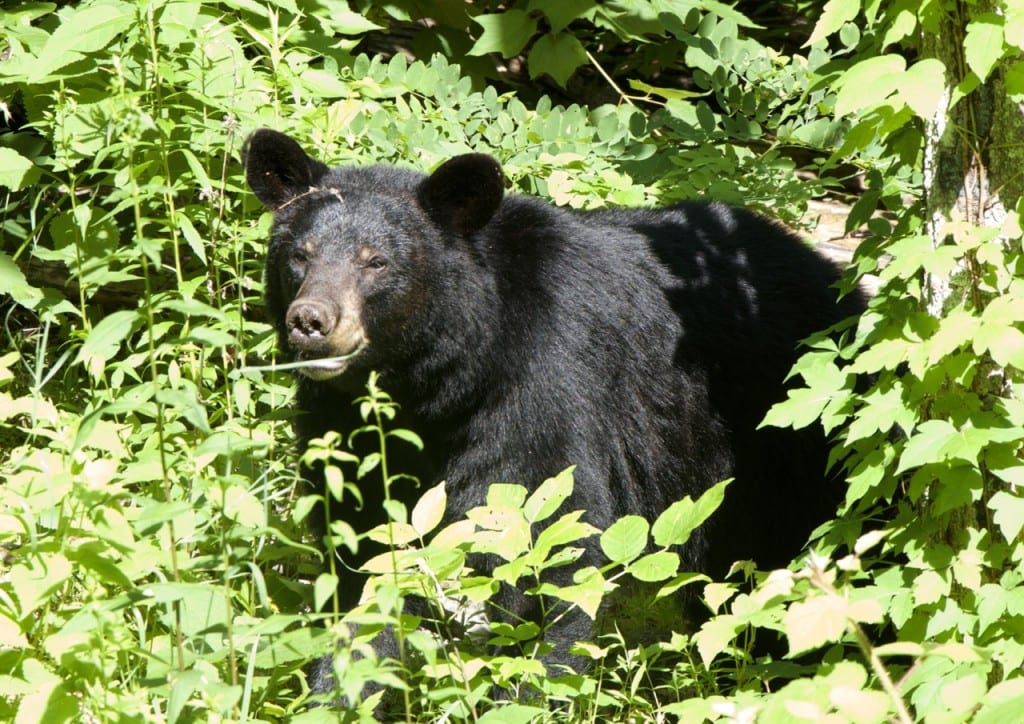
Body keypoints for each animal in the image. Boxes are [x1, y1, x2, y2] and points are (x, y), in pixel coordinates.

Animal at [243, 129, 868, 696]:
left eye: (377, 262)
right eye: (299, 255)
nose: (311, 320)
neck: (445, 376)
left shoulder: (546, 379)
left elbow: (548, 539)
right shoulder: (354, 428)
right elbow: (371, 557)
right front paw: (334, 688)